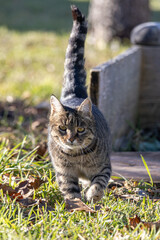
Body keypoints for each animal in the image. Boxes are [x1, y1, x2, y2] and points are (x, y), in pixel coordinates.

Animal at [47, 5, 111, 202]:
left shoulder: (104, 167)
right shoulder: (65, 175)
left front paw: (93, 195)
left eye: (80, 129)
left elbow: (99, 183)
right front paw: (77, 205)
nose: (71, 138)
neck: (76, 156)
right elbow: (72, 195)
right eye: (62, 128)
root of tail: (75, 93)